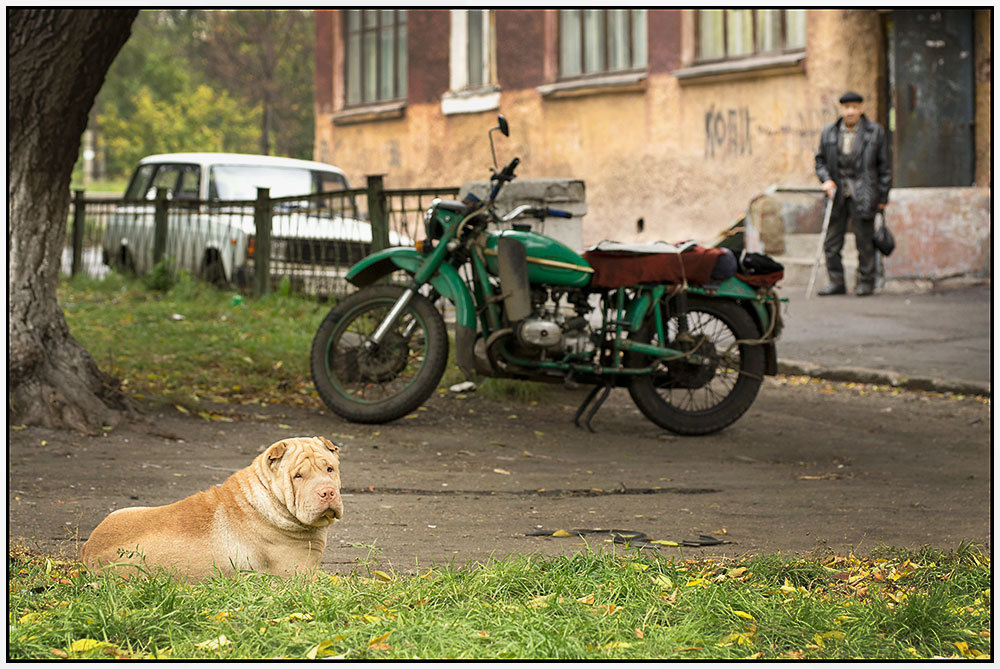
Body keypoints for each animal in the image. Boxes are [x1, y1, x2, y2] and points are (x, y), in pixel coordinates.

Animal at [80, 436, 344, 576]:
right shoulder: (301, 573)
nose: (327, 492)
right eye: (298, 476)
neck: (269, 498)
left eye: (330, 469)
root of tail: (86, 553)